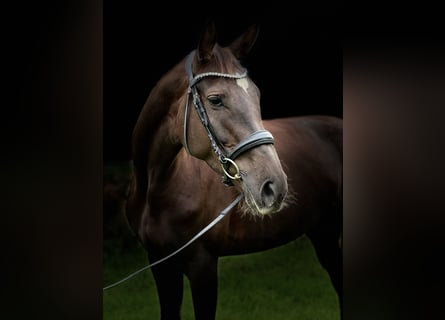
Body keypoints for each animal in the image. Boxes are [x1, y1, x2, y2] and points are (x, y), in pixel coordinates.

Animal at [125, 21, 344, 318]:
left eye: (256, 96)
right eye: (216, 100)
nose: (274, 186)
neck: (157, 187)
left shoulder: (202, 265)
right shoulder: (159, 263)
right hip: (324, 233)